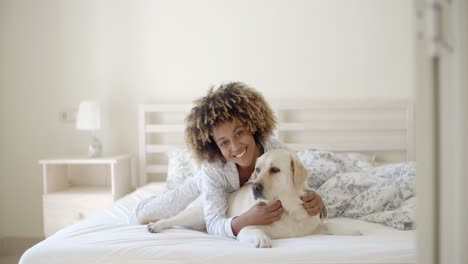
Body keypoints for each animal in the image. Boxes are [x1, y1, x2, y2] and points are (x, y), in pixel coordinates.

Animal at [148, 148, 360, 248]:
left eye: (275, 170)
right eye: (257, 170)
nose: (255, 187)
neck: (288, 208)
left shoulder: (313, 226)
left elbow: (330, 225)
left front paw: (352, 231)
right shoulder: (246, 225)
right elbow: (253, 229)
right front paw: (261, 239)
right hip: (195, 214)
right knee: (171, 219)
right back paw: (155, 226)